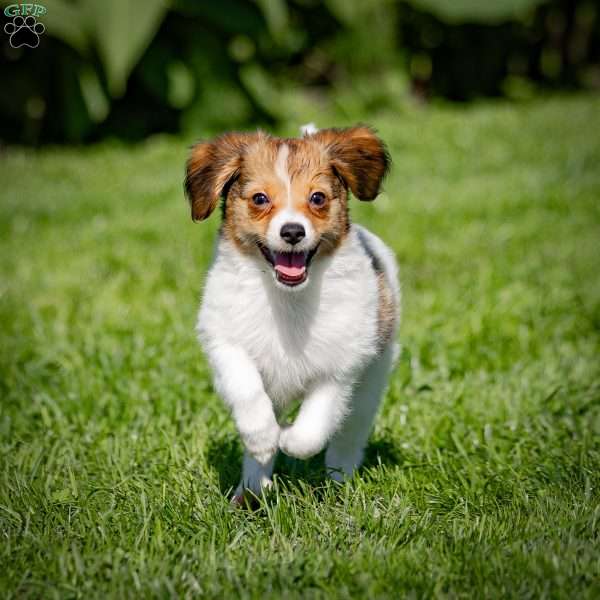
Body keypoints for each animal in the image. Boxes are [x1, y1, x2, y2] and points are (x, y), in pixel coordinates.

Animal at [183, 125, 398, 502]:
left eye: (317, 198)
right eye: (259, 199)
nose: (293, 231)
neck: (288, 299)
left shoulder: (340, 366)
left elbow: (315, 425)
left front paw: (289, 439)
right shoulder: (224, 340)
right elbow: (246, 388)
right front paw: (263, 437)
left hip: (371, 382)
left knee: (348, 436)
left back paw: (338, 480)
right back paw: (252, 490)